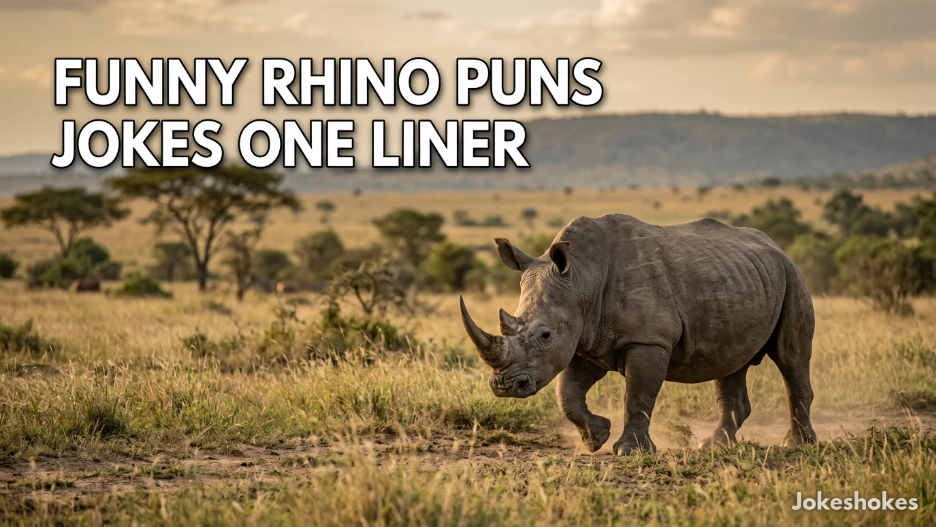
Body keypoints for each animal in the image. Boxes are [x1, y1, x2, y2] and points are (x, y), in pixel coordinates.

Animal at [460, 214, 816, 454]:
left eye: (545, 335)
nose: (504, 387)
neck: (581, 278)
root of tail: (776, 245)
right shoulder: (587, 340)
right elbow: (567, 394)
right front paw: (596, 438)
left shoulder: (648, 339)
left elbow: (638, 394)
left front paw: (630, 451)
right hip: (742, 279)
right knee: (730, 363)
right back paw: (714, 446)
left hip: (792, 275)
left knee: (791, 357)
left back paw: (798, 445)